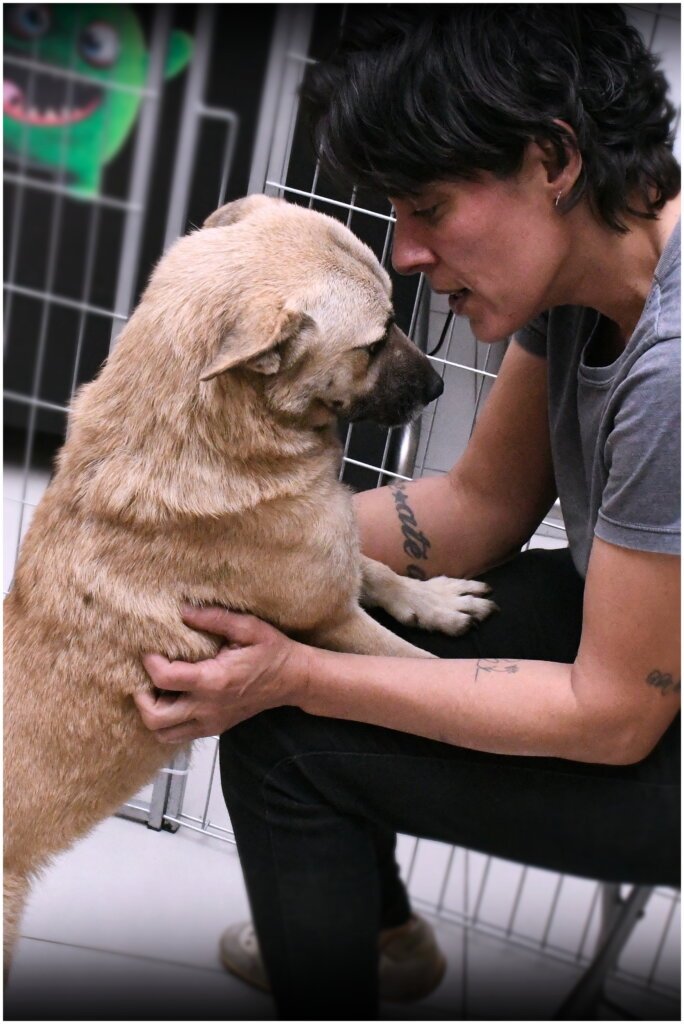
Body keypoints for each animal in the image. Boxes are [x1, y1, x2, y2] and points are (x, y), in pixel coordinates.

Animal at [4, 194, 495, 971]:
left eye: (399, 313)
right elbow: (410, 663)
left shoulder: (332, 555)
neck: (200, 428)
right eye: (375, 340)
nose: (443, 387)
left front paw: (436, 600)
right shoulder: (330, 622)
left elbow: (378, 567)